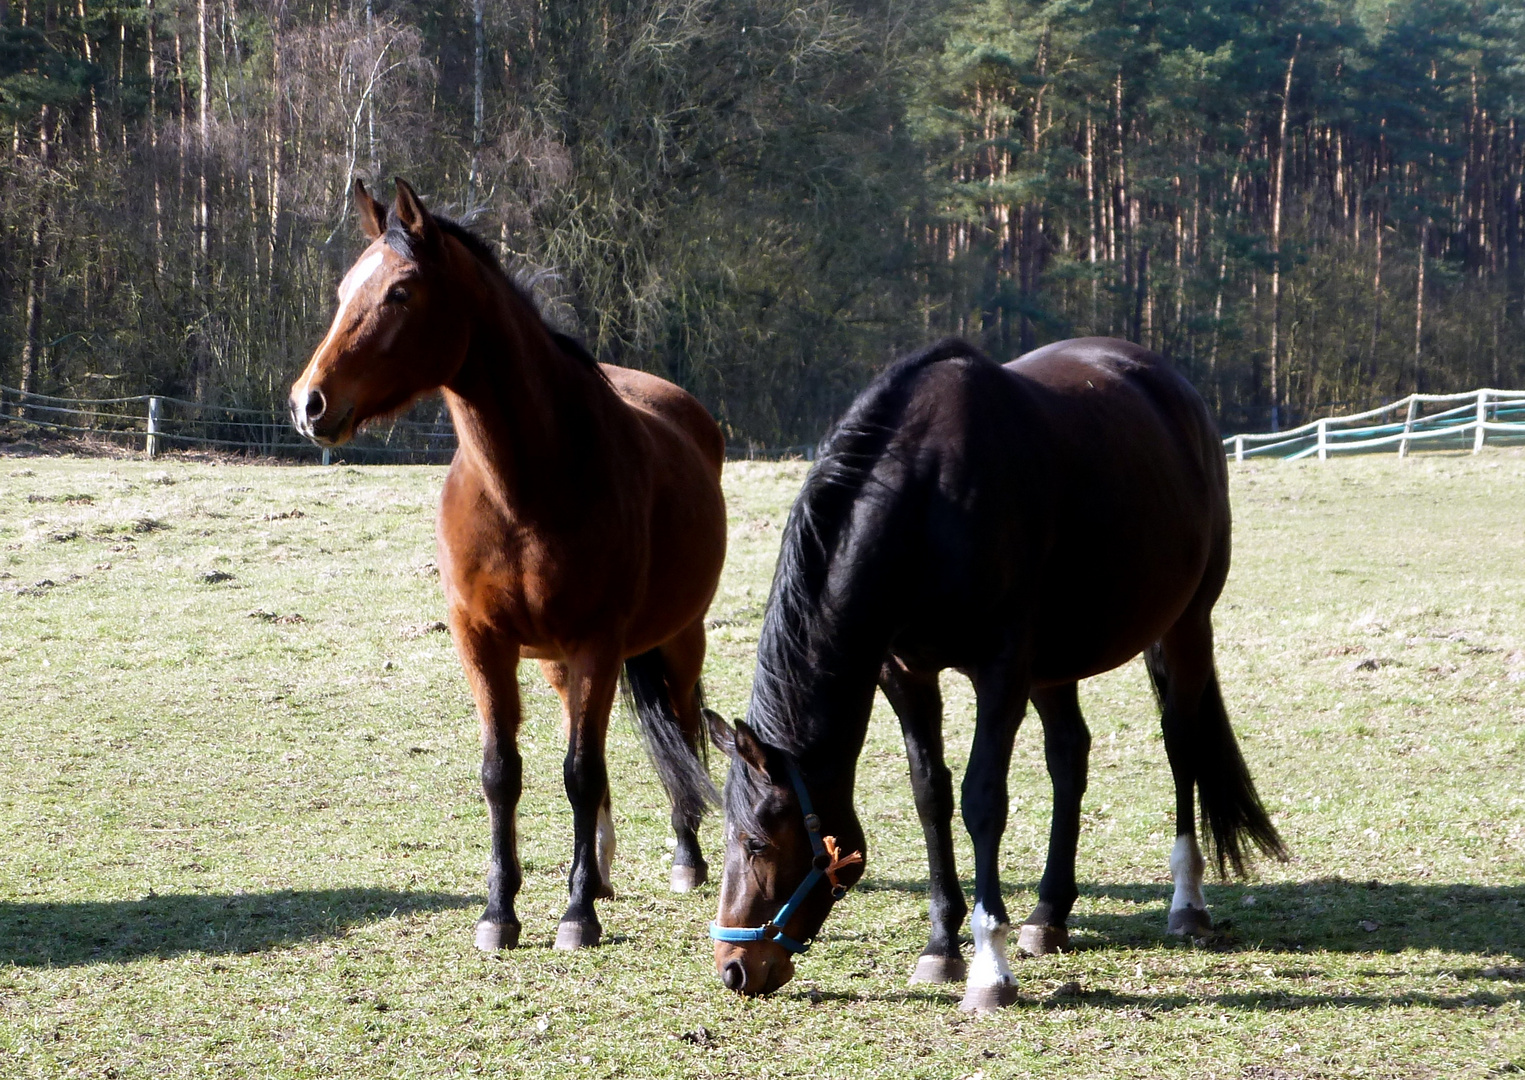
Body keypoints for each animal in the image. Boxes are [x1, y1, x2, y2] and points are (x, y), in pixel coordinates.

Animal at [292, 179, 732, 951]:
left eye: (401, 290)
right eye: (346, 288)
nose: (308, 403)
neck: (526, 486)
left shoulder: (597, 643)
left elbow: (581, 772)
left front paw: (576, 916)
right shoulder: (484, 643)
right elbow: (504, 773)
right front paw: (501, 911)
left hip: (676, 640)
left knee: (679, 732)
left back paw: (683, 858)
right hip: (562, 663)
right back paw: (601, 870)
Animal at [707, 337, 1281, 1012]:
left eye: (758, 844)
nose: (734, 967)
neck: (927, 501)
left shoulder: (1002, 670)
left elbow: (982, 799)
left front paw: (988, 966)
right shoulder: (904, 672)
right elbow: (930, 795)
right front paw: (941, 946)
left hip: (1186, 626)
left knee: (1181, 745)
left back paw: (1186, 902)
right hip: (1056, 665)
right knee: (1070, 757)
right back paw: (1048, 915)